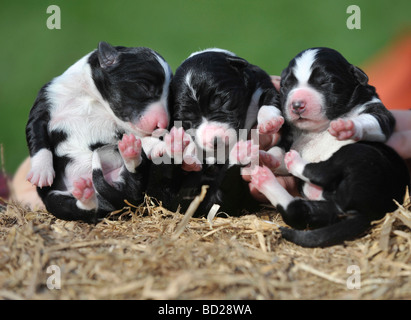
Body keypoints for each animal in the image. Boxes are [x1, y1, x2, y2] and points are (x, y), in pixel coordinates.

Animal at [26, 41, 172, 222]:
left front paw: (157, 145)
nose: (163, 124)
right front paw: (41, 172)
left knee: (132, 179)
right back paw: (85, 194)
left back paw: (130, 153)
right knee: (78, 209)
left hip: (127, 182)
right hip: (55, 199)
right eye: (144, 87)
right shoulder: (45, 104)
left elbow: (140, 136)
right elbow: (38, 139)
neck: (92, 97)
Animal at [147, 48, 280, 216]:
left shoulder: (262, 83)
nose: (215, 142)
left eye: (220, 100)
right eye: (186, 117)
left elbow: (270, 98)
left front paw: (270, 121)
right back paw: (176, 146)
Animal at [253, 47, 410, 248]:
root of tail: (366, 212)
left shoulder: (380, 114)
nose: (297, 105)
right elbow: (277, 147)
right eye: (286, 85)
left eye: (325, 82)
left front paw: (347, 126)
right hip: (327, 207)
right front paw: (266, 145)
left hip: (357, 154)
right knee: (298, 211)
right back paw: (264, 178)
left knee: (323, 172)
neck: (318, 129)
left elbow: (368, 120)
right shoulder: (288, 136)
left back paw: (291, 163)